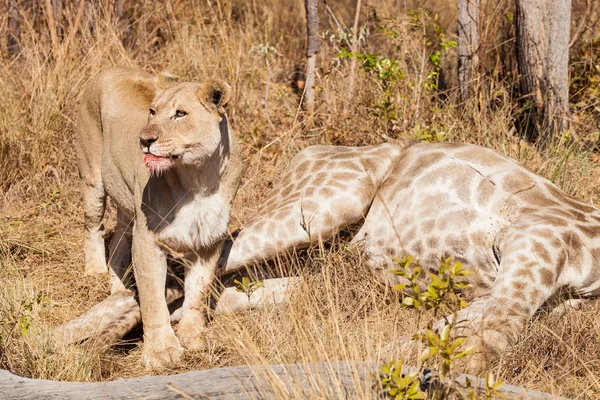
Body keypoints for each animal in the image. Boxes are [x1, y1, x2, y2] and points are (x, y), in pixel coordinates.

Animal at [75, 68, 241, 368]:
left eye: (180, 114)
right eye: (152, 112)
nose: (144, 139)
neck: (198, 178)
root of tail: (110, 69)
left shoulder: (209, 241)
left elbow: (198, 293)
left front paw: (193, 337)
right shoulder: (148, 241)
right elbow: (153, 299)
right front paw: (161, 351)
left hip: (128, 204)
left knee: (118, 242)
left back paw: (119, 288)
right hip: (92, 179)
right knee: (92, 227)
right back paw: (94, 273)